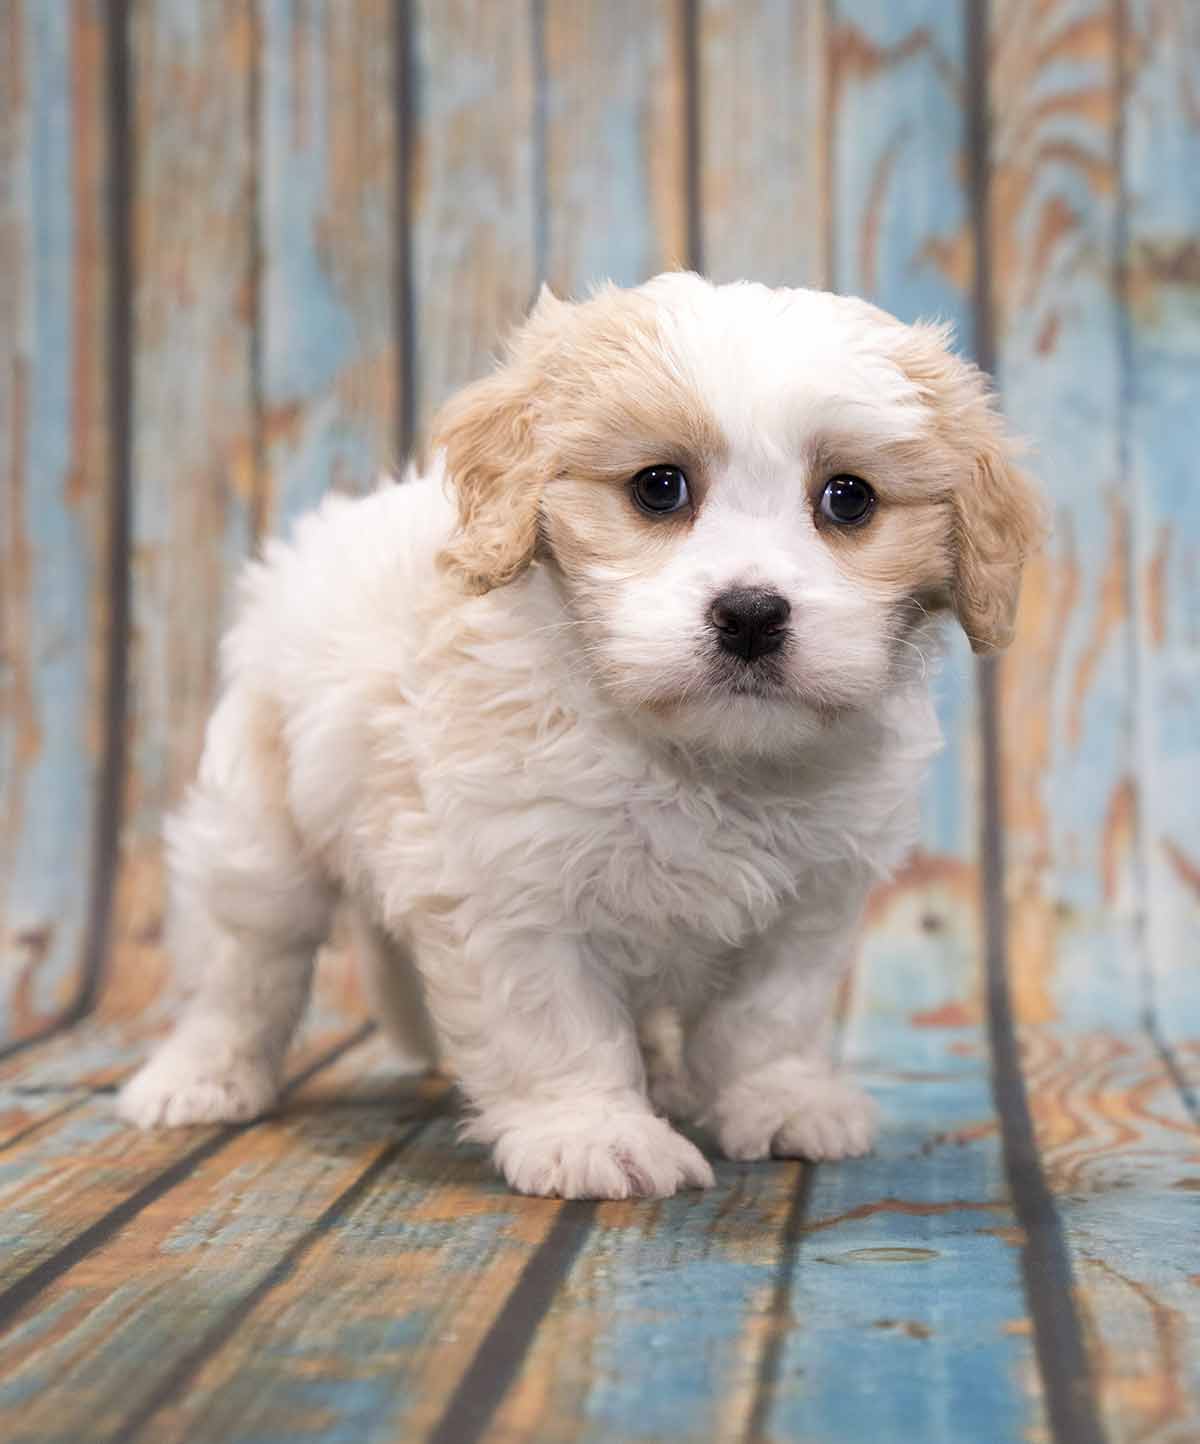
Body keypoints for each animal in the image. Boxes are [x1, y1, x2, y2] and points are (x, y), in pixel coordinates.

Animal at [116, 271, 1045, 1195]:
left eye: (848, 499)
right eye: (659, 488)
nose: (750, 615)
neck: (704, 759)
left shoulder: (812, 899)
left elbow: (769, 1016)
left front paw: (781, 1100)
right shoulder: (508, 886)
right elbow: (554, 1026)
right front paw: (594, 1133)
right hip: (258, 820)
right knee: (245, 962)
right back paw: (199, 1076)